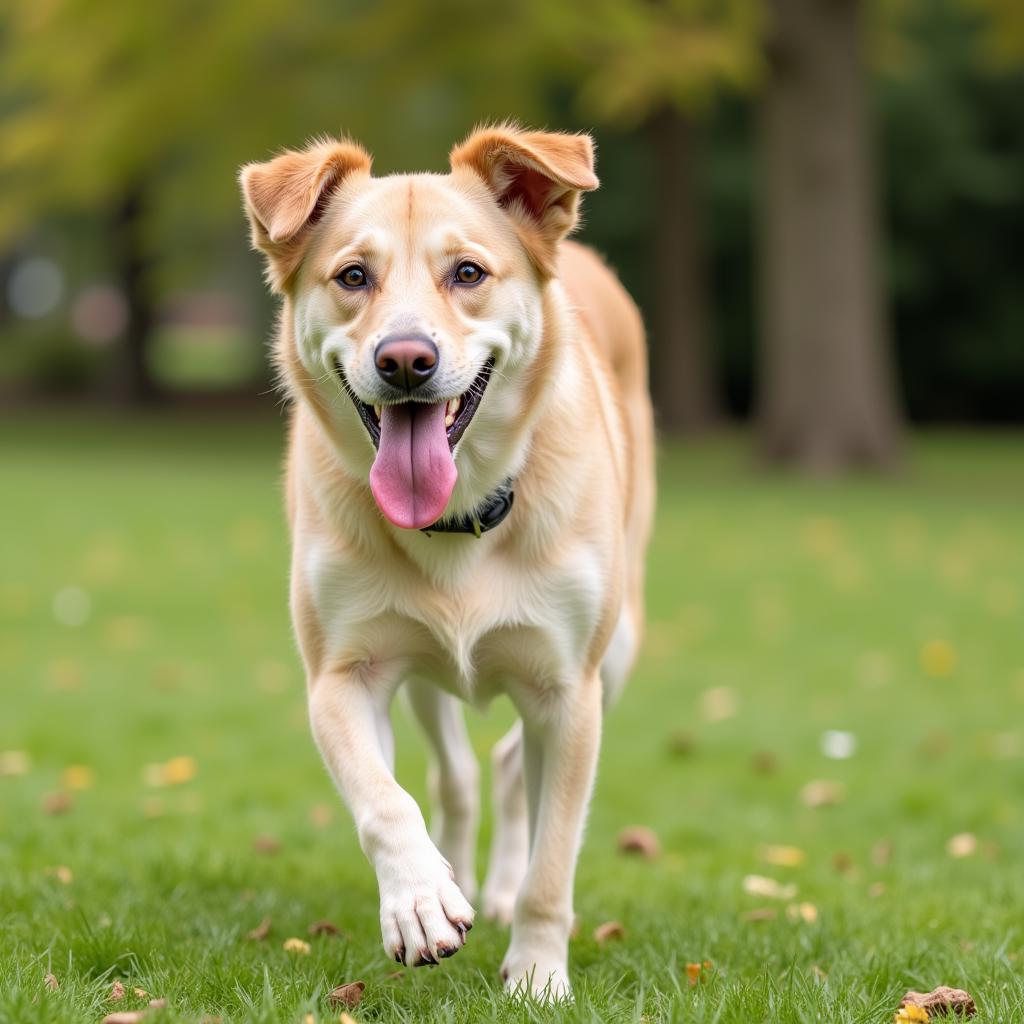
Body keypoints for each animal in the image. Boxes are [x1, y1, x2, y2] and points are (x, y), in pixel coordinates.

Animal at [240, 121, 655, 999]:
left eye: (467, 273)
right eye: (353, 276)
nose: (405, 360)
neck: (460, 518)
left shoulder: (570, 689)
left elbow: (553, 861)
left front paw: (537, 973)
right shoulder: (342, 675)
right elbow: (384, 800)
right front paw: (421, 900)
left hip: (617, 650)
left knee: (512, 768)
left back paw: (496, 888)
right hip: (427, 668)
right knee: (457, 774)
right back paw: (457, 877)